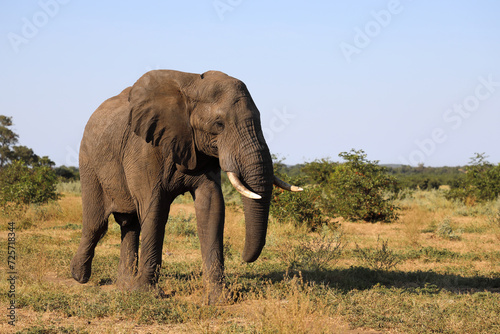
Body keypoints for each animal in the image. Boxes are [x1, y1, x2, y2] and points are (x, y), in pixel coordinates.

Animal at [70, 69, 300, 304]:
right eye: (219, 124)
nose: (244, 258)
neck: (192, 86)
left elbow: (211, 207)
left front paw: (219, 298)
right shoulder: (144, 147)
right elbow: (155, 209)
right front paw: (146, 294)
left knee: (129, 223)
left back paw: (124, 286)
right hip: (88, 162)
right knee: (97, 223)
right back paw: (79, 276)